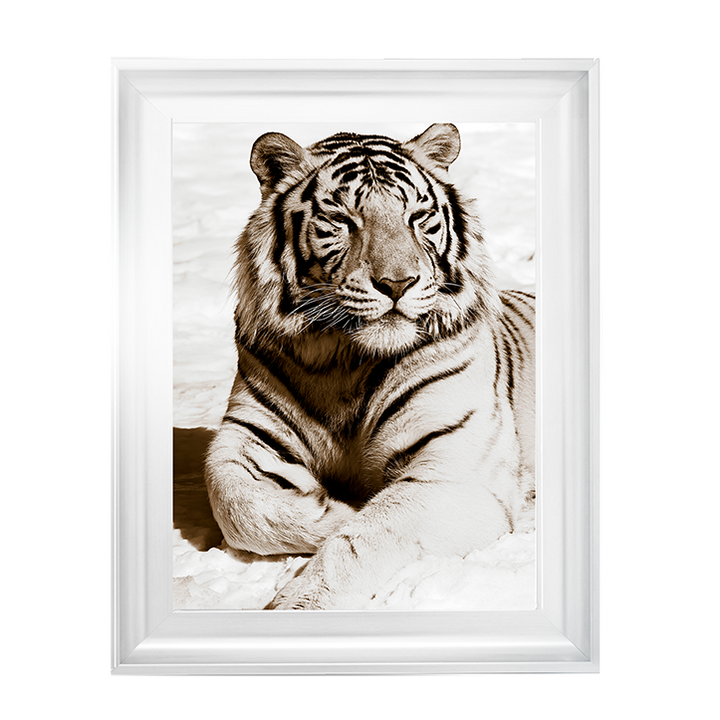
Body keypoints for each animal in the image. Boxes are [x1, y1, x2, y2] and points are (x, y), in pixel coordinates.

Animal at [204, 123, 535, 610]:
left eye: (417, 216)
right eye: (343, 220)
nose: (398, 284)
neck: (345, 360)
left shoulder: (455, 474)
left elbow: (367, 538)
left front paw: (299, 603)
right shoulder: (245, 437)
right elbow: (235, 504)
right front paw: (338, 509)